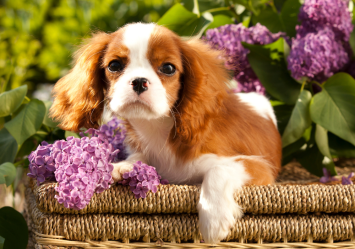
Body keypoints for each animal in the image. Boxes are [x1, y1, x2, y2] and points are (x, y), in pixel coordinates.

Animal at [50, 21, 284, 243]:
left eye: (169, 68)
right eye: (114, 65)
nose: (139, 81)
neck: (158, 130)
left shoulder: (259, 168)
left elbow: (219, 170)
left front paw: (214, 218)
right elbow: (138, 157)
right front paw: (123, 166)